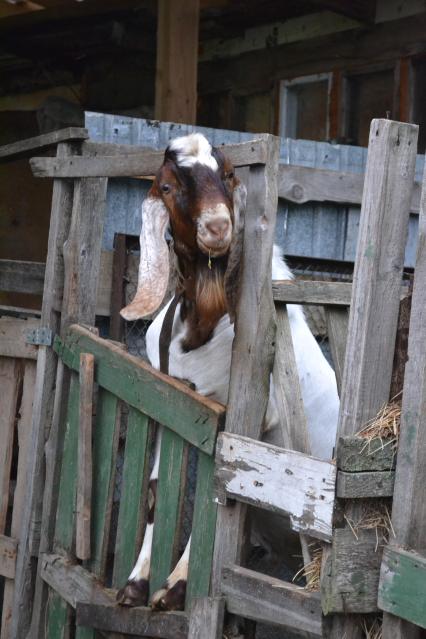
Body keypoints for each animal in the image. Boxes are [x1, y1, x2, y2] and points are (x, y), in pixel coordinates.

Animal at [117, 132, 340, 612]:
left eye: (227, 174)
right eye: (167, 186)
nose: (218, 227)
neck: (203, 324)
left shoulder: (237, 421)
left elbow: (217, 495)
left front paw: (175, 588)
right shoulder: (172, 401)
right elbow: (157, 491)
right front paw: (136, 584)